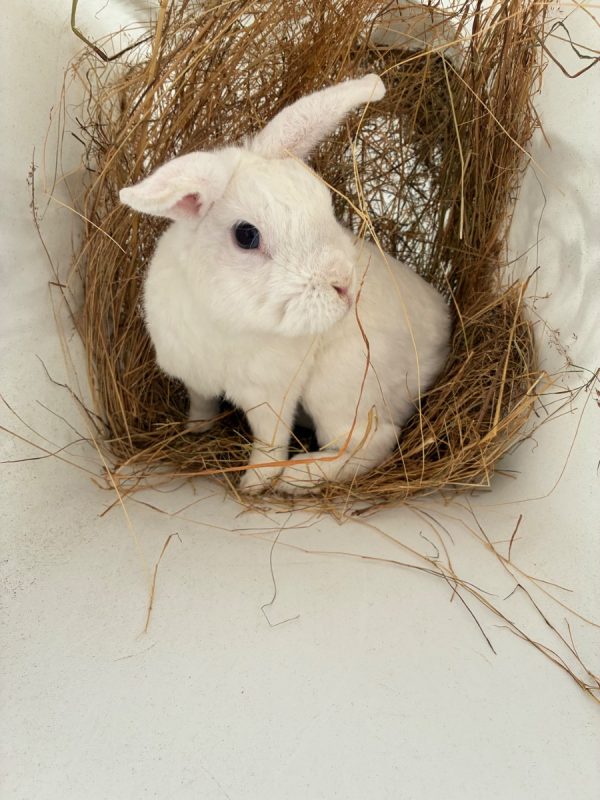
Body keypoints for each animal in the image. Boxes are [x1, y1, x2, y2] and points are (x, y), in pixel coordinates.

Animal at [119, 74, 451, 495]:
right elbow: (202, 404)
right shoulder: (195, 379)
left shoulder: (271, 397)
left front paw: (254, 485)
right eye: (246, 235)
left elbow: (269, 444)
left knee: (375, 439)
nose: (344, 286)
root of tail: (443, 340)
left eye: (325, 203)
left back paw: (296, 477)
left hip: (339, 387)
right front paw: (196, 429)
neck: (224, 318)